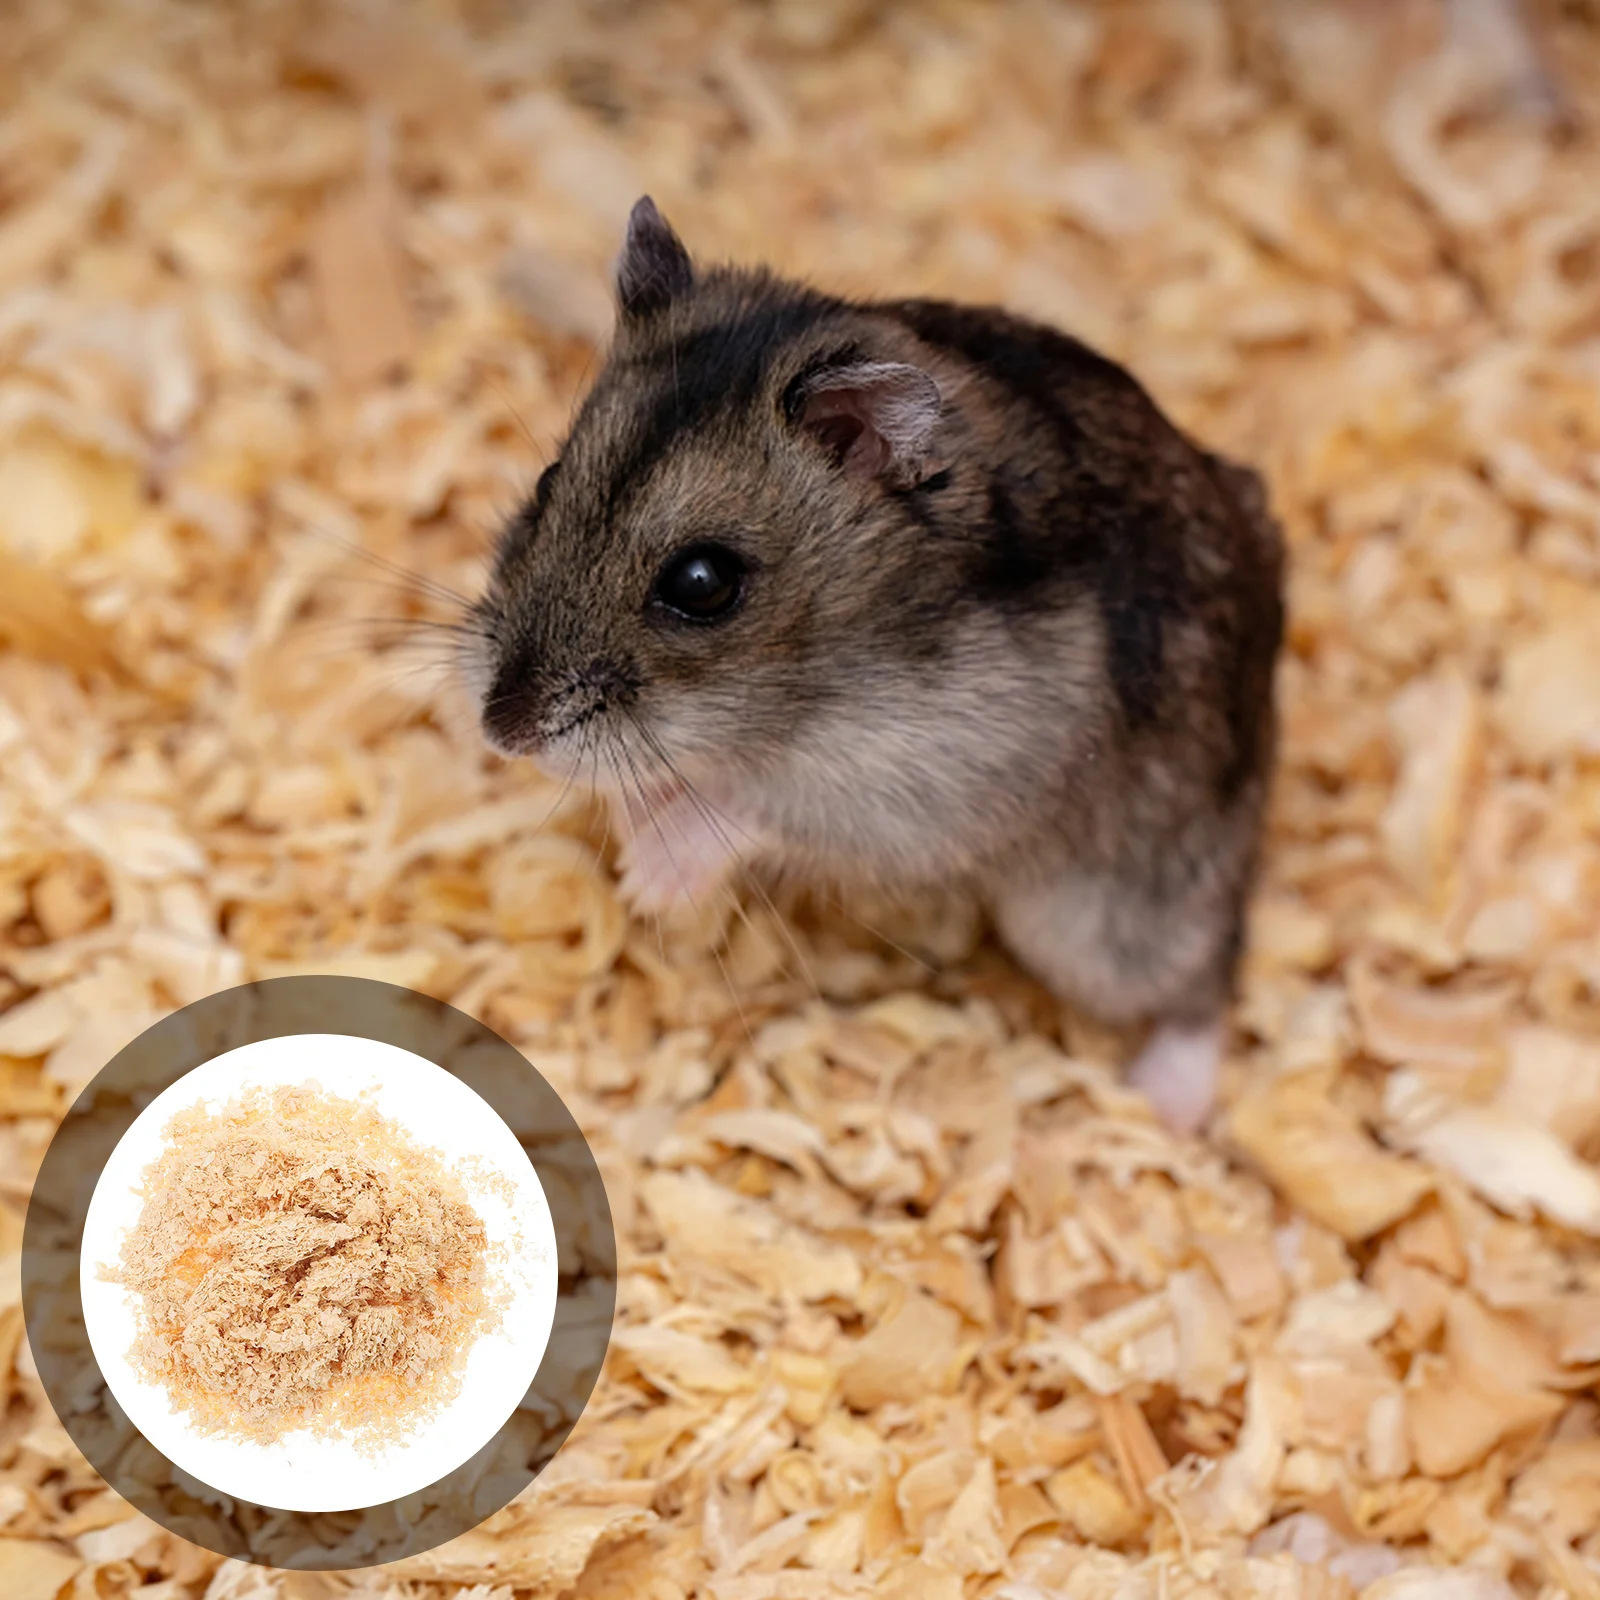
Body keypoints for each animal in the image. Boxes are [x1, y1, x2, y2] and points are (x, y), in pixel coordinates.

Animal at [468, 198, 1285, 1133]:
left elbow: (754, 806)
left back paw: (1165, 1107)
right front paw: (638, 831)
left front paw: (649, 882)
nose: (499, 733)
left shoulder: (929, 776)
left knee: (1206, 973)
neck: (827, 673)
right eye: (545, 483)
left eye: (702, 583)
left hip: (1114, 916)